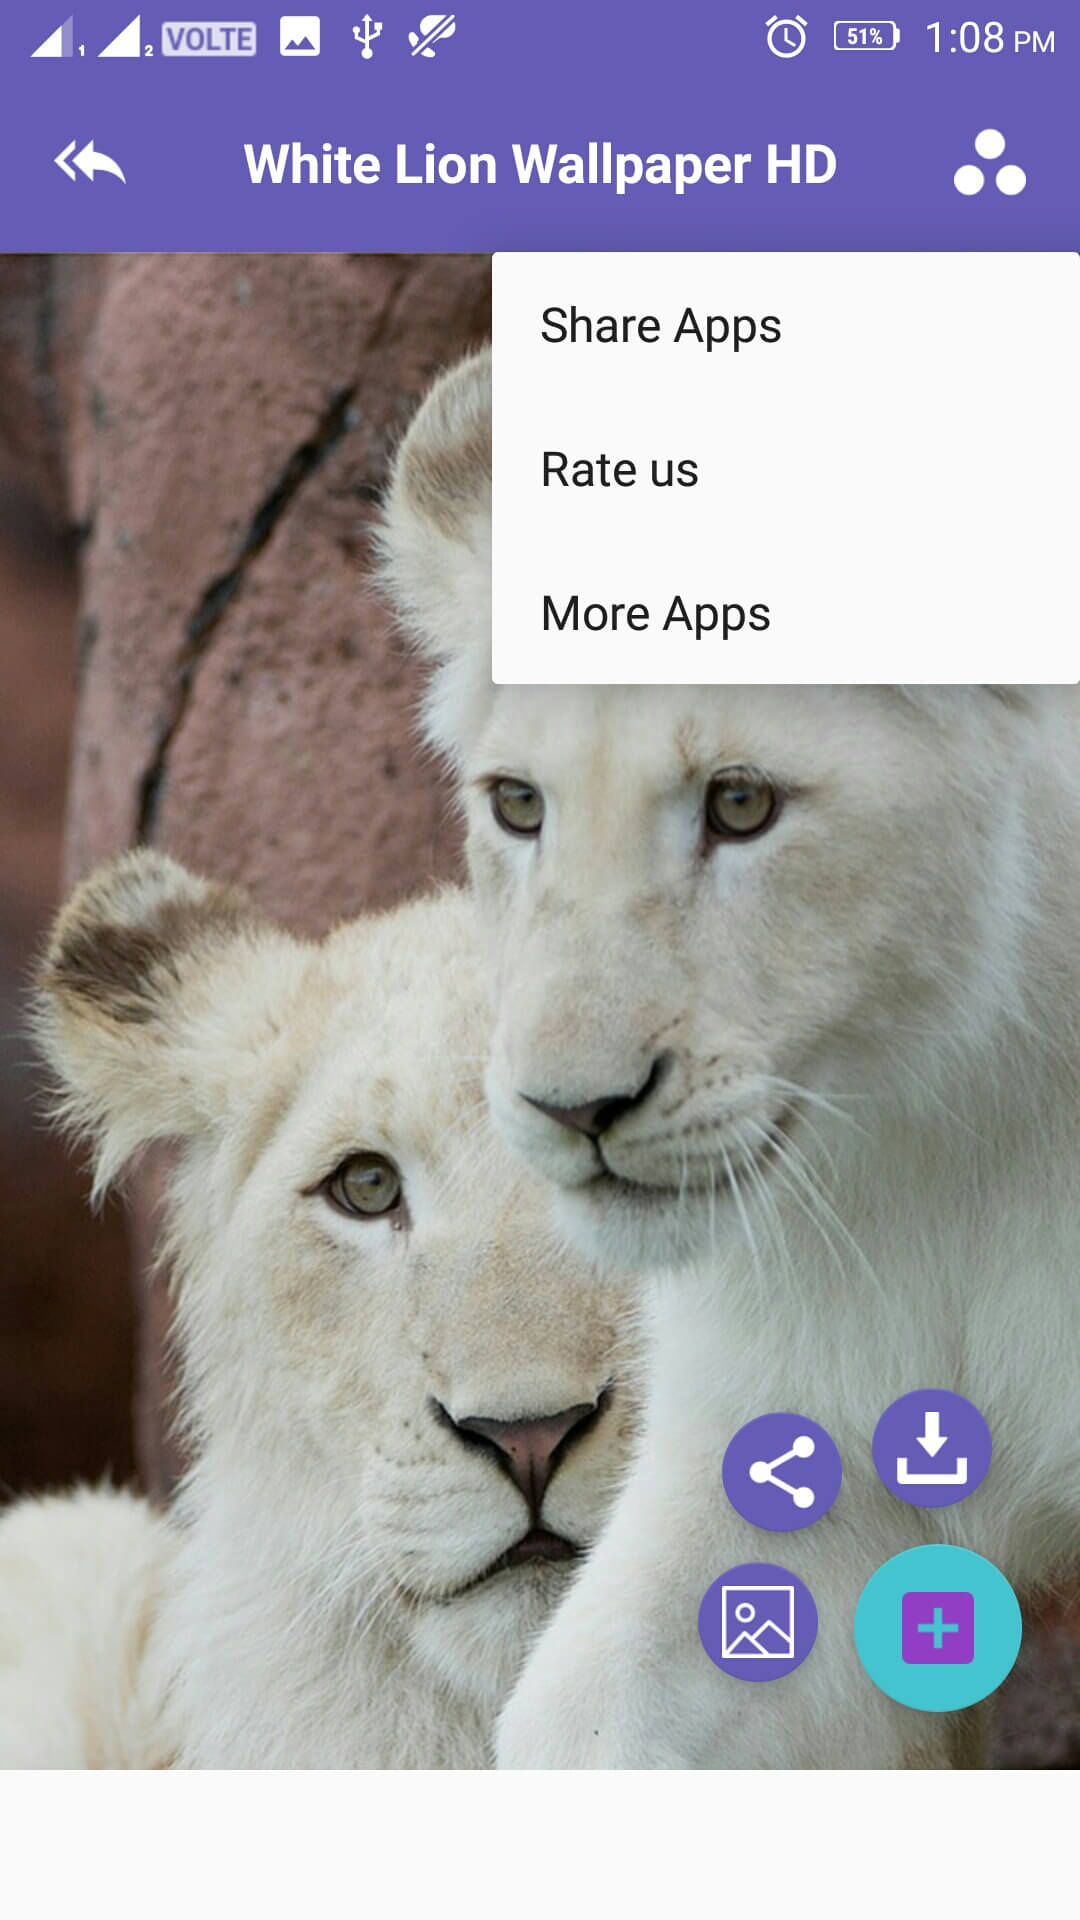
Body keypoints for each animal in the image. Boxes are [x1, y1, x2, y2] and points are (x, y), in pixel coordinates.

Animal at [380, 349, 1080, 1769]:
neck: (961, 1131)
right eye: (518, 805)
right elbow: (586, 1719)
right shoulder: (789, 1440)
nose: (571, 1109)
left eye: (742, 802)